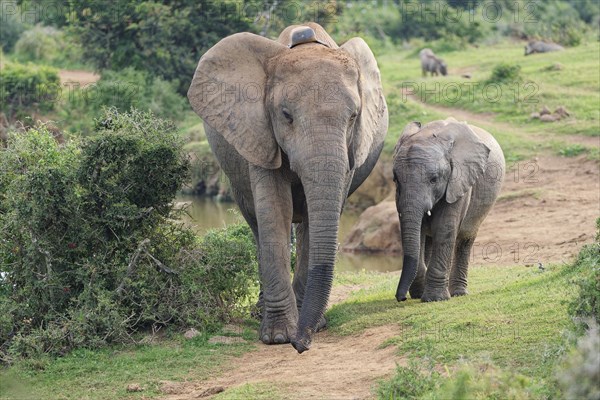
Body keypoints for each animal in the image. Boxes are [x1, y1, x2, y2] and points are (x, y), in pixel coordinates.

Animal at [188, 23, 390, 352]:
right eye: (286, 115)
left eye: (353, 117)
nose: (301, 345)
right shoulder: (259, 132)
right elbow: (275, 210)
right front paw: (279, 336)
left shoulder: (352, 150)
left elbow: (313, 219)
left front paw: (312, 326)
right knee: (256, 223)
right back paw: (260, 312)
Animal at [394, 117, 506, 302]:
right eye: (395, 179)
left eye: (434, 179)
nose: (400, 298)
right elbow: (418, 231)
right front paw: (420, 293)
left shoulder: (459, 181)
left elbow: (444, 228)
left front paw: (435, 299)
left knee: (465, 239)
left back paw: (458, 293)